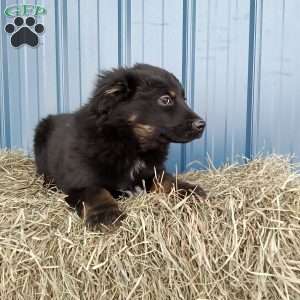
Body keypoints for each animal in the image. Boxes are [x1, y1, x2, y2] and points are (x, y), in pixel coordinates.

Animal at [34, 63, 205, 225]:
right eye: (165, 99)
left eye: (184, 99)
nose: (202, 125)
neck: (129, 142)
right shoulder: (78, 181)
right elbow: (95, 191)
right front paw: (105, 214)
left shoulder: (152, 170)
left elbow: (165, 178)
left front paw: (188, 190)